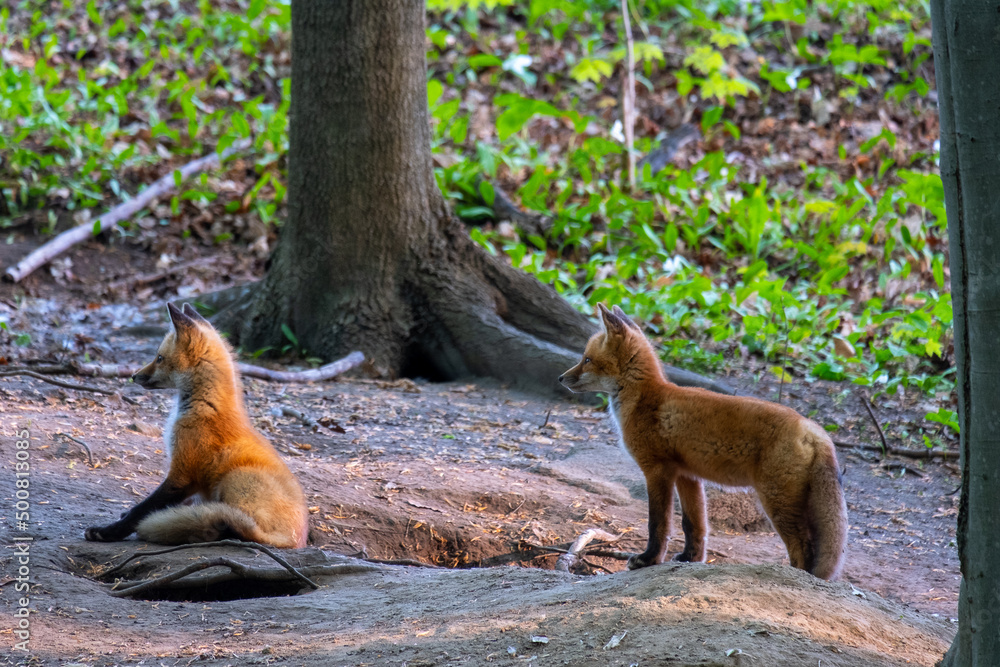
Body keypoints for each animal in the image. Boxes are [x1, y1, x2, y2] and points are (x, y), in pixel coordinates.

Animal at [86, 302, 308, 548]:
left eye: (159, 357)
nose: (134, 376)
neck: (206, 406)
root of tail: (292, 540)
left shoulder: (182, 475)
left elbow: (142, 510)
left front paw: (108, 532)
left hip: (234, 478)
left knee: (237, 529)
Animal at [560, 306, 848, 580]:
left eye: (587, 359)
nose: (560, 378)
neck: (645, 399)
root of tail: (814, 429)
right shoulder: (687, 475)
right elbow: (693, 525)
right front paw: (691, 558)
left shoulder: (657, 470)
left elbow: (658, 523)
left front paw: (648, 559)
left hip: (777, 502)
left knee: (803, 547)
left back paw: (797, 577)